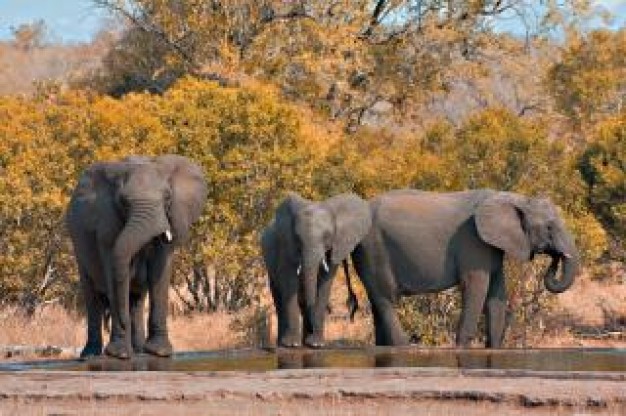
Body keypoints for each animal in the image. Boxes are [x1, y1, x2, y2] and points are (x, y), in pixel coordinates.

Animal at [67, 154, 206, 360]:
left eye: (167, 197)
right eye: (123, 202)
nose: (120, 323)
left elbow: (160, 273)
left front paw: (159, 352)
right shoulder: (106, 226)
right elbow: (113, 273)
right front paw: (119, 354)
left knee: (137, 300)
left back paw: (139, 350)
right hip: (78, 248)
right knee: (92, 295)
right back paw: (91, 355)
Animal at [260, 193, 370, 348]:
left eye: (327, 236)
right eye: (298, 238)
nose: (330, 310)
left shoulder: (334, 247)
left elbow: (324, 283)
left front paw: (316, 344)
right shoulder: (287, 244)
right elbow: (289, 282)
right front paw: (292, 344)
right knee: (279, 298)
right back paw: (283, 343)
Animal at [354, 188, 576, 348]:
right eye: (549, 227)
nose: (556, 257)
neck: (516, 198)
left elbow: (497, 294)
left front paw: (494, 349)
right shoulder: (474, 243)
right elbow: (475, 288)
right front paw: (461, 348)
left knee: (376, 302)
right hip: (374, 250)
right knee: (386, 298)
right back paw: (404, 348)